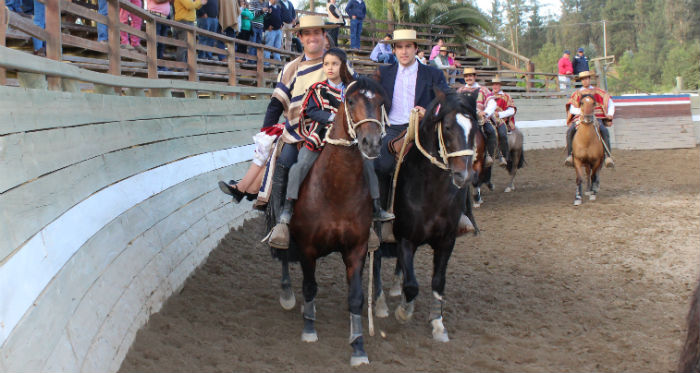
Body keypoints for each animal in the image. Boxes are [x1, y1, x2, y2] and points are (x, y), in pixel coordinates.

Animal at [270, 77, 388, 364]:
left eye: (381, 102)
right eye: (352, 101)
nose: (371, 143)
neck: (336, 188)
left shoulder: (356, 249)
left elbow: (356, 298)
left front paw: (358, 346)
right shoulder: (308, 248)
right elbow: (310, 287)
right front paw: (309, 329)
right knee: (283, 254)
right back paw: (287, 294)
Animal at [372, 87, 482, 340]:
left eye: (474, 128)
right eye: (448, 127)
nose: (464, 175)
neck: (431, 190)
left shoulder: (446, 241)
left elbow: (438, 282)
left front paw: (437, 324)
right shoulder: (406, 238)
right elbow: (412, 285)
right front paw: (404, 312)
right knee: (377, 263)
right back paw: (381, 304)